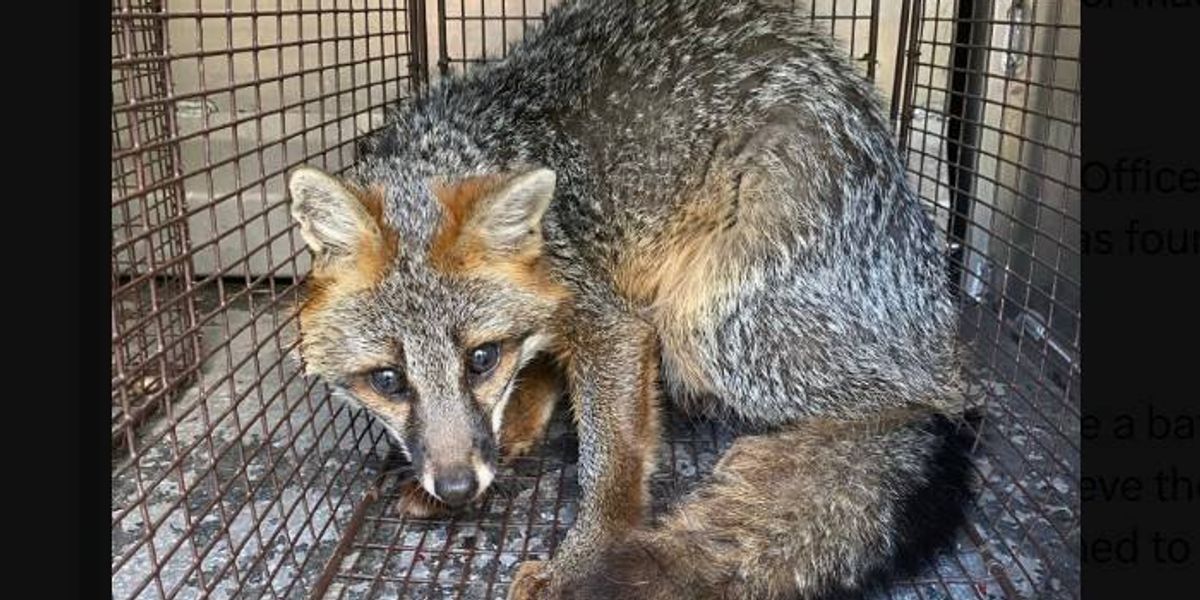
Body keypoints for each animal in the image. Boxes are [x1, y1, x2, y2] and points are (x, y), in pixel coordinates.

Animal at [286, 0, 977, 598]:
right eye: (386, 380)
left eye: (480, 359)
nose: (456, 488)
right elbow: (536, 375)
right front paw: (517, 423)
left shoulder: (609, 320)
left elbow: (610, 459)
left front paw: (584, 561)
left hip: (714, 323)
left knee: (916, 410)